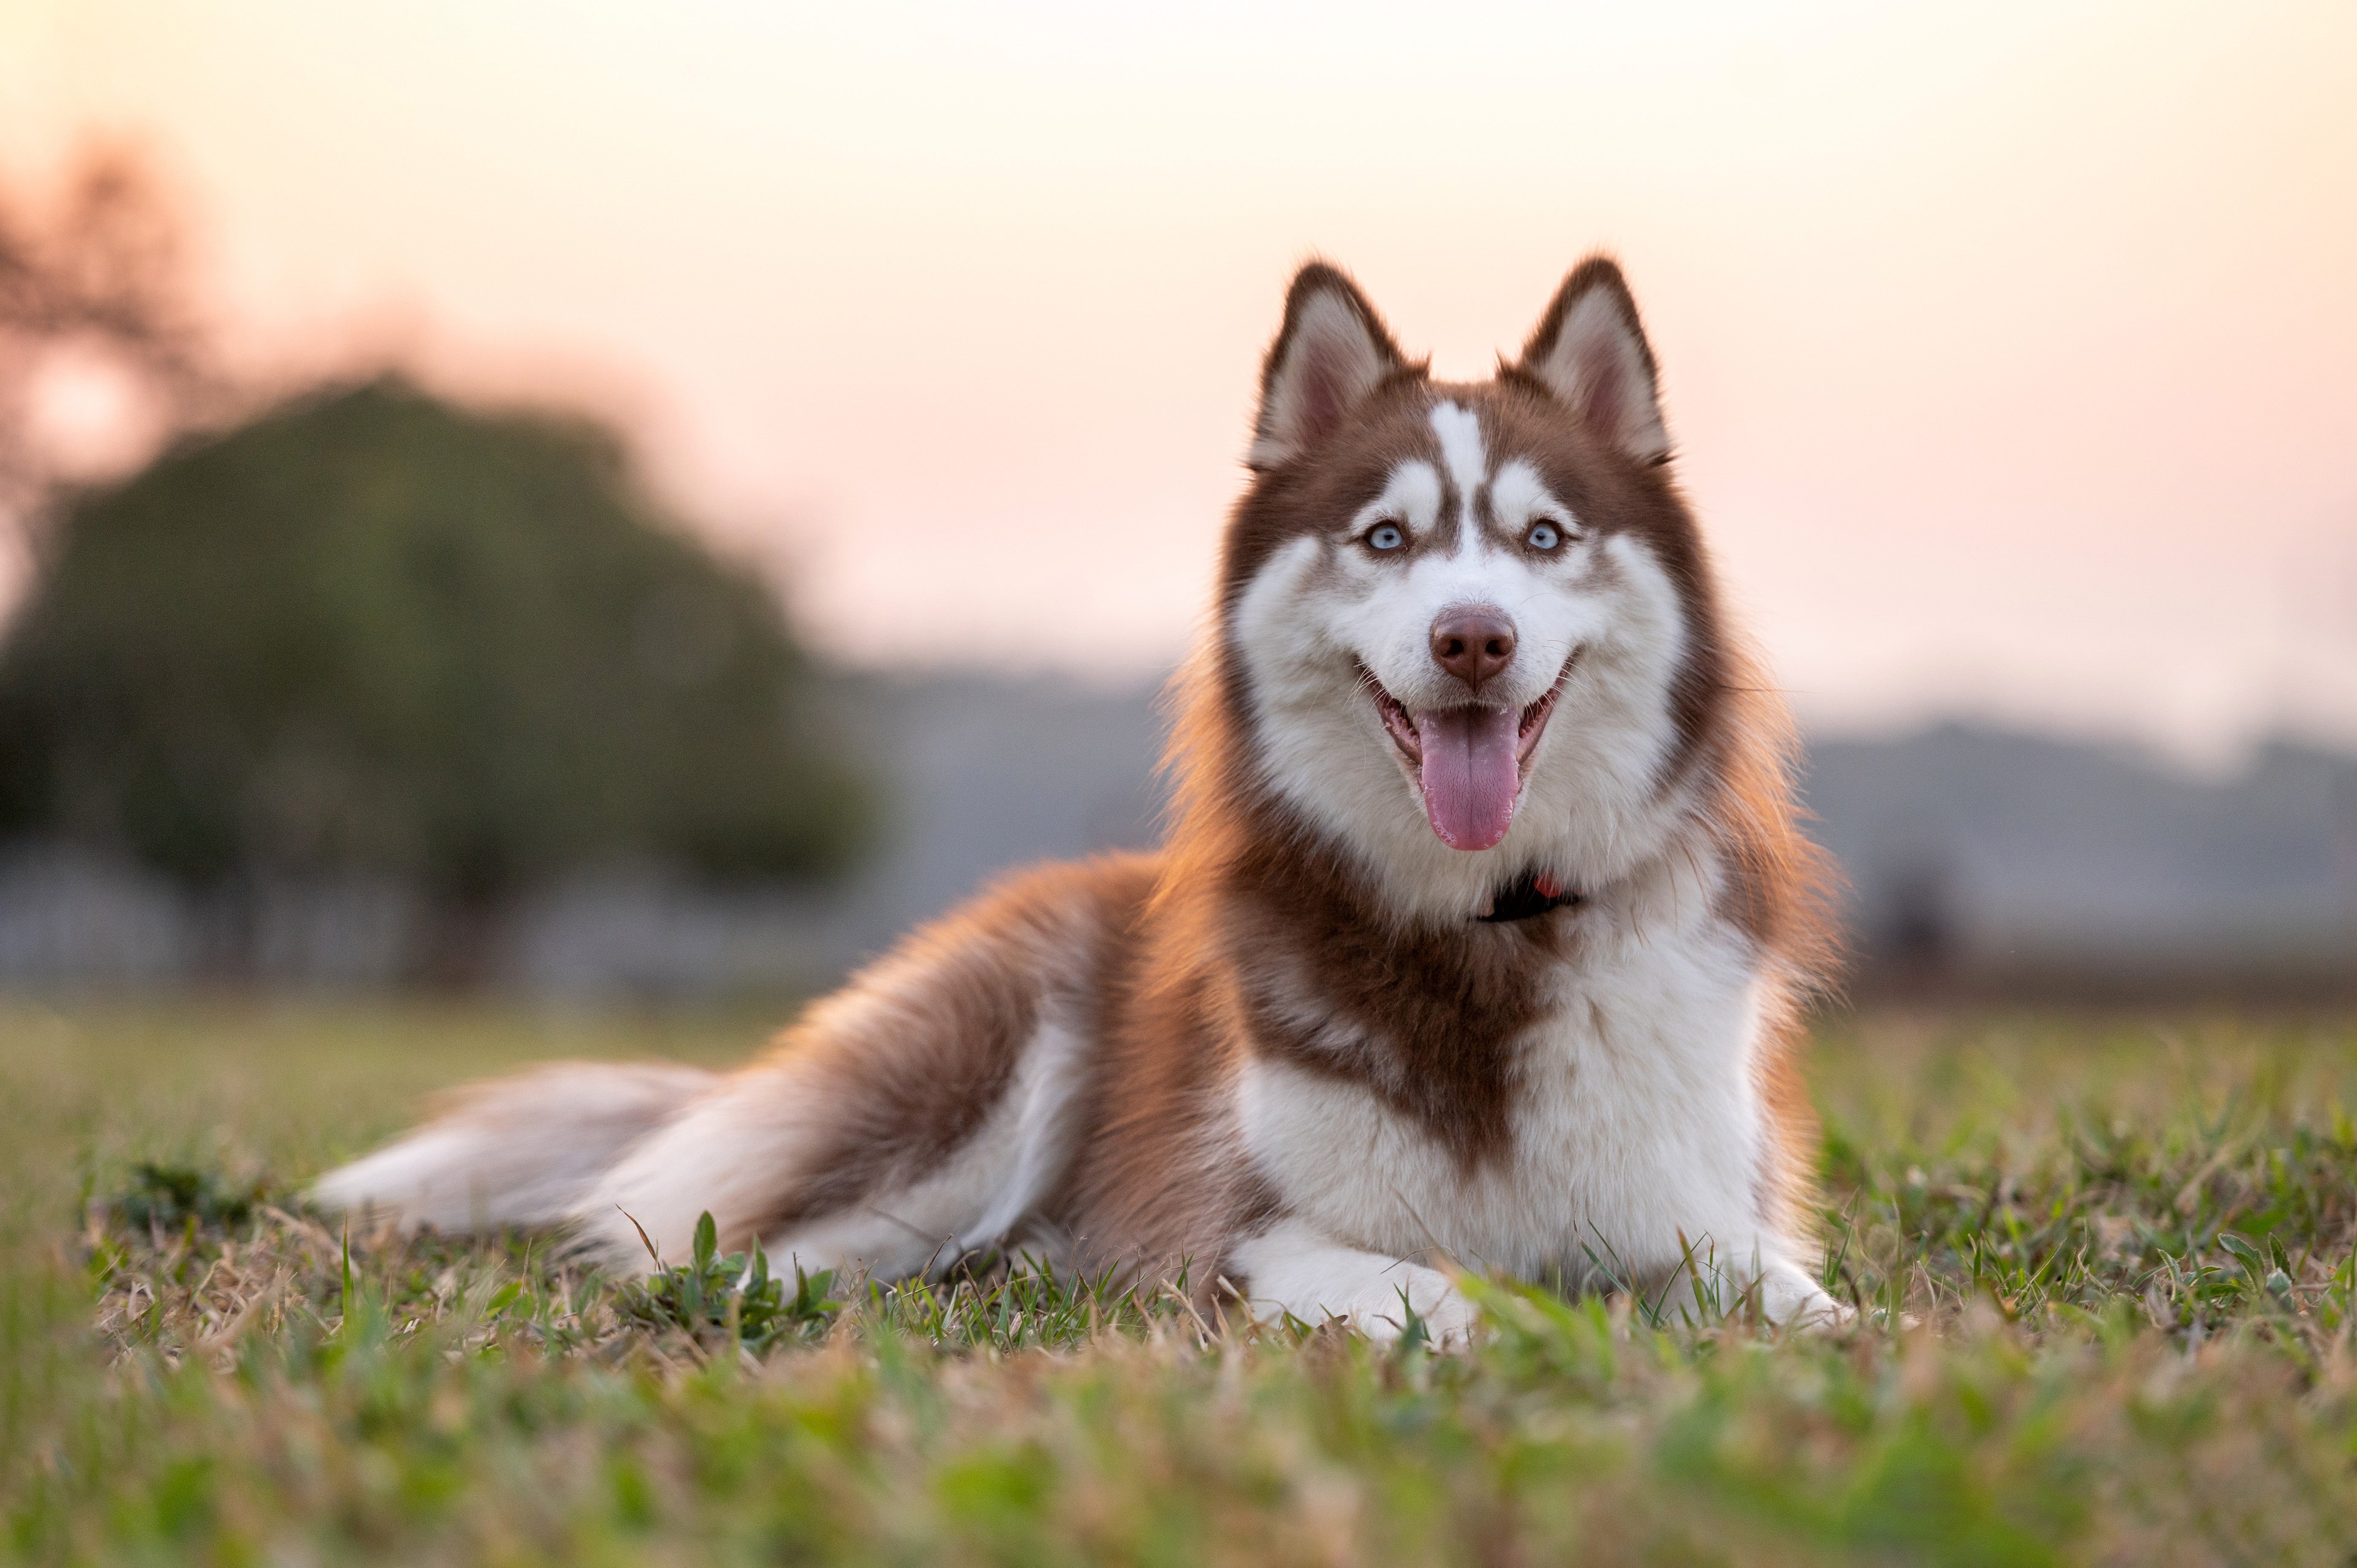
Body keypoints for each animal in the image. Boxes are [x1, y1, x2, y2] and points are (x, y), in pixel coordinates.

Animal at [323, 259, 1848, 1330]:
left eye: (1542, 536)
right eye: (1385, 538)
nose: (1472, 636)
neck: (1485, 937)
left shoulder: (1709, 1215)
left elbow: (1798, 1304)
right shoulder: (1244, 1236)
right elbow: (1460, 1293)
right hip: (981, 1080)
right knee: (743, 1243)